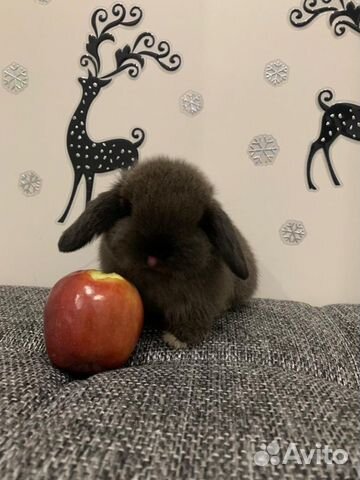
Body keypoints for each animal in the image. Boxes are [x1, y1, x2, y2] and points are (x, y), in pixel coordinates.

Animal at [58, 158, 256, 348]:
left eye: (198, 222)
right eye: (127, 208)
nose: (154, 256)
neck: (155, 279)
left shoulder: (196, 302)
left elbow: (191, 318)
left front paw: (177, 340)